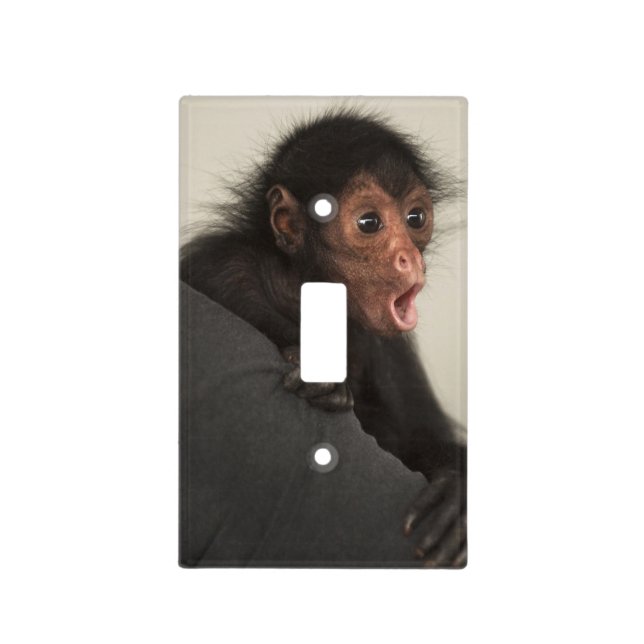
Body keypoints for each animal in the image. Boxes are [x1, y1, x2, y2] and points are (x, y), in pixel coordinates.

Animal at [180, 108, 466, 566]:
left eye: (416, 219)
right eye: (369, 223)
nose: (409, 257)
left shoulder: (386, 345)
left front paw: (457, 494)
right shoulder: (225, 269)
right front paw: (324, 379)